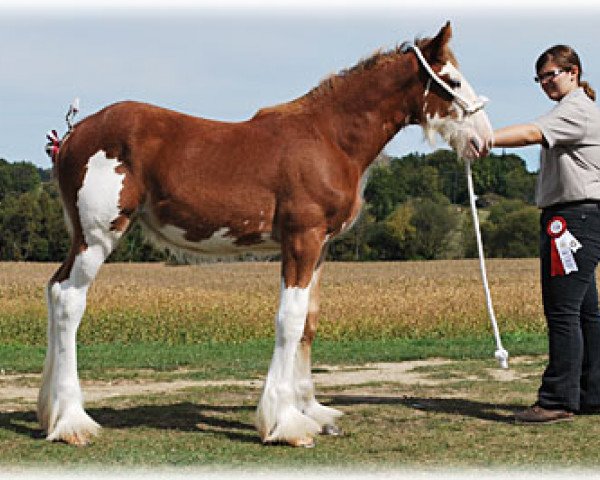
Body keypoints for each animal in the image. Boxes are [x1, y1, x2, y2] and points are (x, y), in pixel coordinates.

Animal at [39, 21, 494, 450]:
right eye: (452, 81)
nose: (484, 140)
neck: (329, 138)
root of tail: (74, 134)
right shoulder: (301, 240)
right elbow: (289, 321)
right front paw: (285, 424)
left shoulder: (320, 248)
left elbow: (309, 322)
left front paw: (312, 411)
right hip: (99, 237)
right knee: (70, 301)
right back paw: (72, 422)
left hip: (81, 239)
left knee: (54, 289)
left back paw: (49, 412)